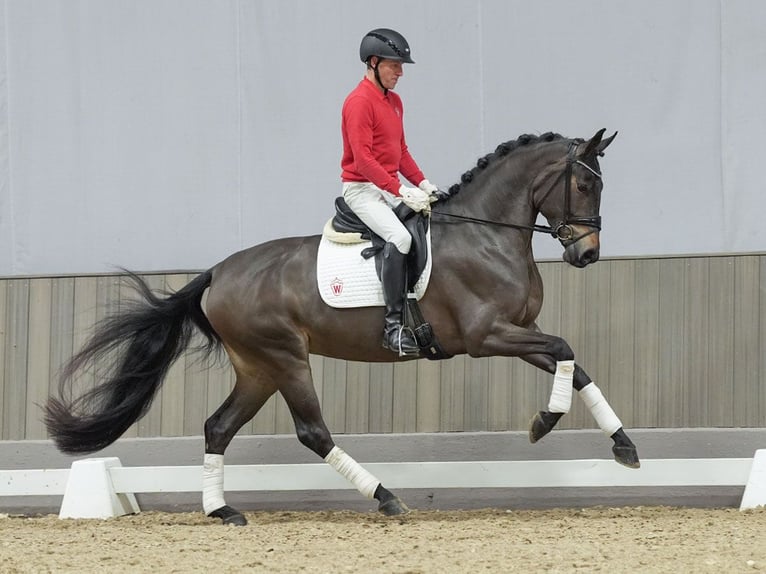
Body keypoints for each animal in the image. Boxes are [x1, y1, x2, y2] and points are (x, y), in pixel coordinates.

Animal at [45, 129, 640, 528]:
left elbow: (574, 364)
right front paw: (544, 422)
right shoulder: (485, 336)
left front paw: (624, 446)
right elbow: (565, 348)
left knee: (218, 426)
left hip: (258, 368)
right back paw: (386, 497)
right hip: (286, 359)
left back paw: (223, 510)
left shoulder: (519, 330)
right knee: (313, 432)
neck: (487, 234)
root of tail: (219, 272)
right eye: (584, 184)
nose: (587, 254)